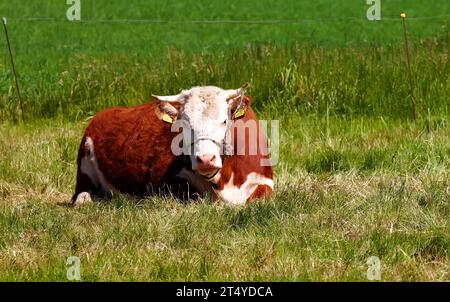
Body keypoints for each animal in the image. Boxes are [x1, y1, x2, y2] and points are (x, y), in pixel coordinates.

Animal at [71, 85, 274, 208]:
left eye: (224, 121)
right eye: (184, 124)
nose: (205, 159)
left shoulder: (265, 181)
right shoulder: (166, 184)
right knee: (81, 194)